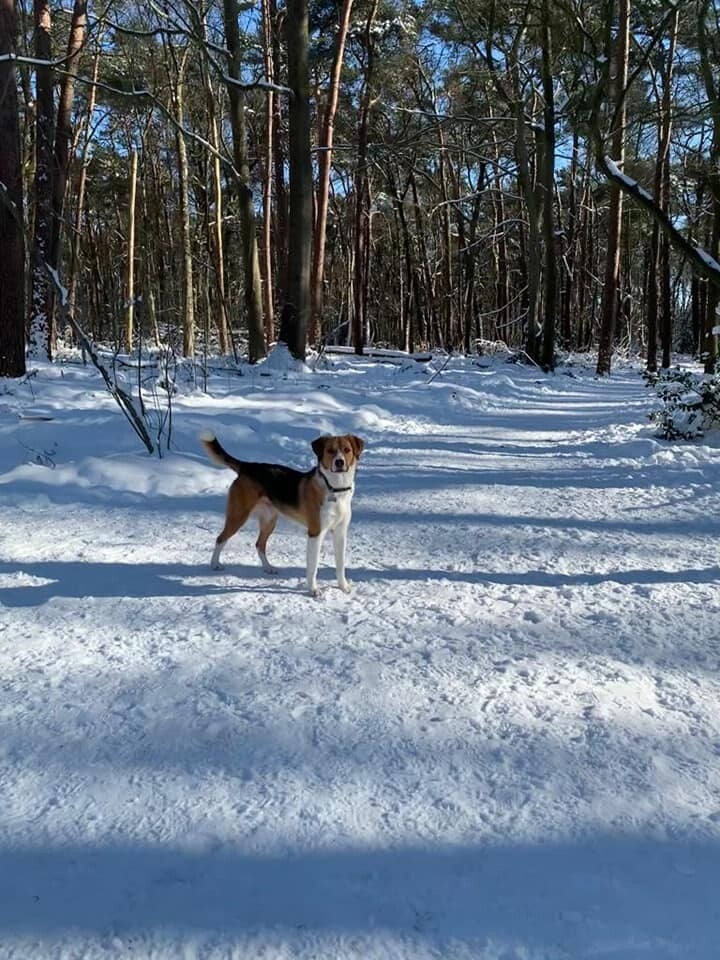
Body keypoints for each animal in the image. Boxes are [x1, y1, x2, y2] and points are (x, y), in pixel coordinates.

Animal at [200, 432, 364, 596]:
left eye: (347, 450)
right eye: (330, 451)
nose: (339, 462)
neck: (335, 489)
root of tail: (248, 466)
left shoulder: (340, 532)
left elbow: (340, 564)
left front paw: (343, 587)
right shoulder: (315, 533)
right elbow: (313, 566)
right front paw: (313, 589)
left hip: (269, 521)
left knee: (259, 544)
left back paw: (268, 568)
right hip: (238, 515)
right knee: (220, 539)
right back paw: (214, 564)